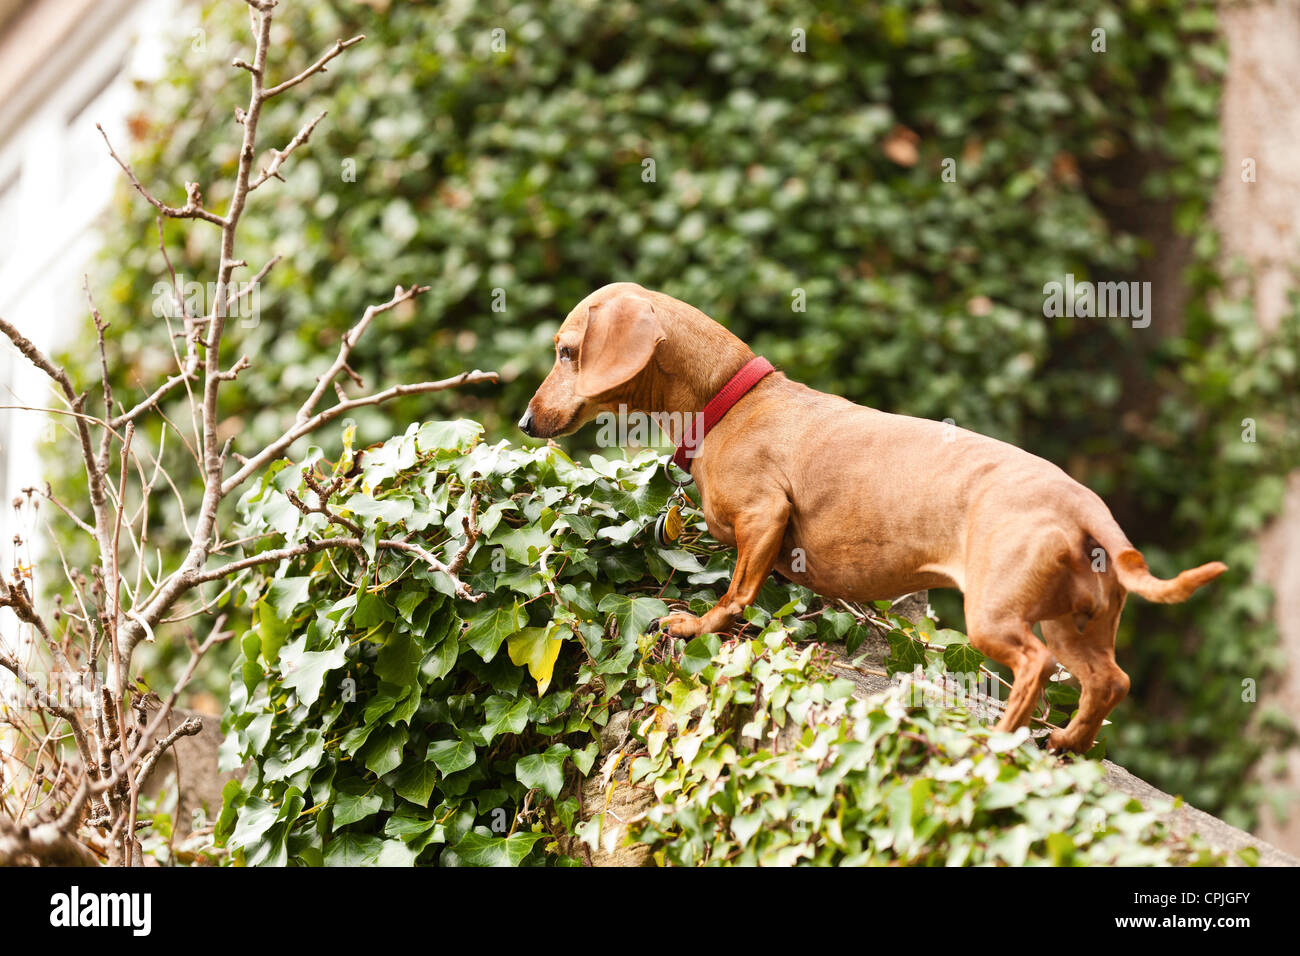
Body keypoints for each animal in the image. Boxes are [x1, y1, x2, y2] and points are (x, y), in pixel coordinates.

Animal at [517, 283, 1227, 754]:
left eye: (567, 351)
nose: (525, 422)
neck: (733, 402)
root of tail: (1086, 505)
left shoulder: (763, 518)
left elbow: (736, 593)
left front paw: (696, 624)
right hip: (1074, 622)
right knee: (1108, 681)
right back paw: (1064, 744)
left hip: (1000, 617)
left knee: (1033, 669)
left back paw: (996, 743)